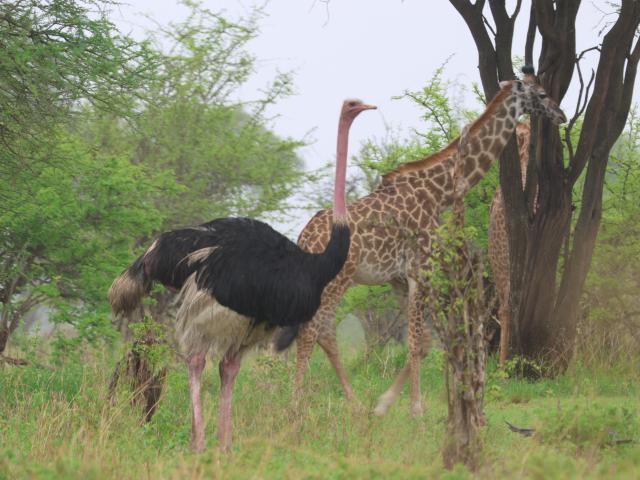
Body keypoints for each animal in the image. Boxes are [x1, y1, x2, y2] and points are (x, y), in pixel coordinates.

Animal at [294, 67, 566, 417]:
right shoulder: (420, 268)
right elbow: (415, 341)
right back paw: (296, 405)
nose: (561, 114)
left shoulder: (399, 276)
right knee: (311, 331)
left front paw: (384, 404)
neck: (440, 192)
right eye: (542, 94)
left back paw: (344, 403)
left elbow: (422, 342)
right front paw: (416, 409)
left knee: (322, 333)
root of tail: (304, 237)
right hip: (337, 280)